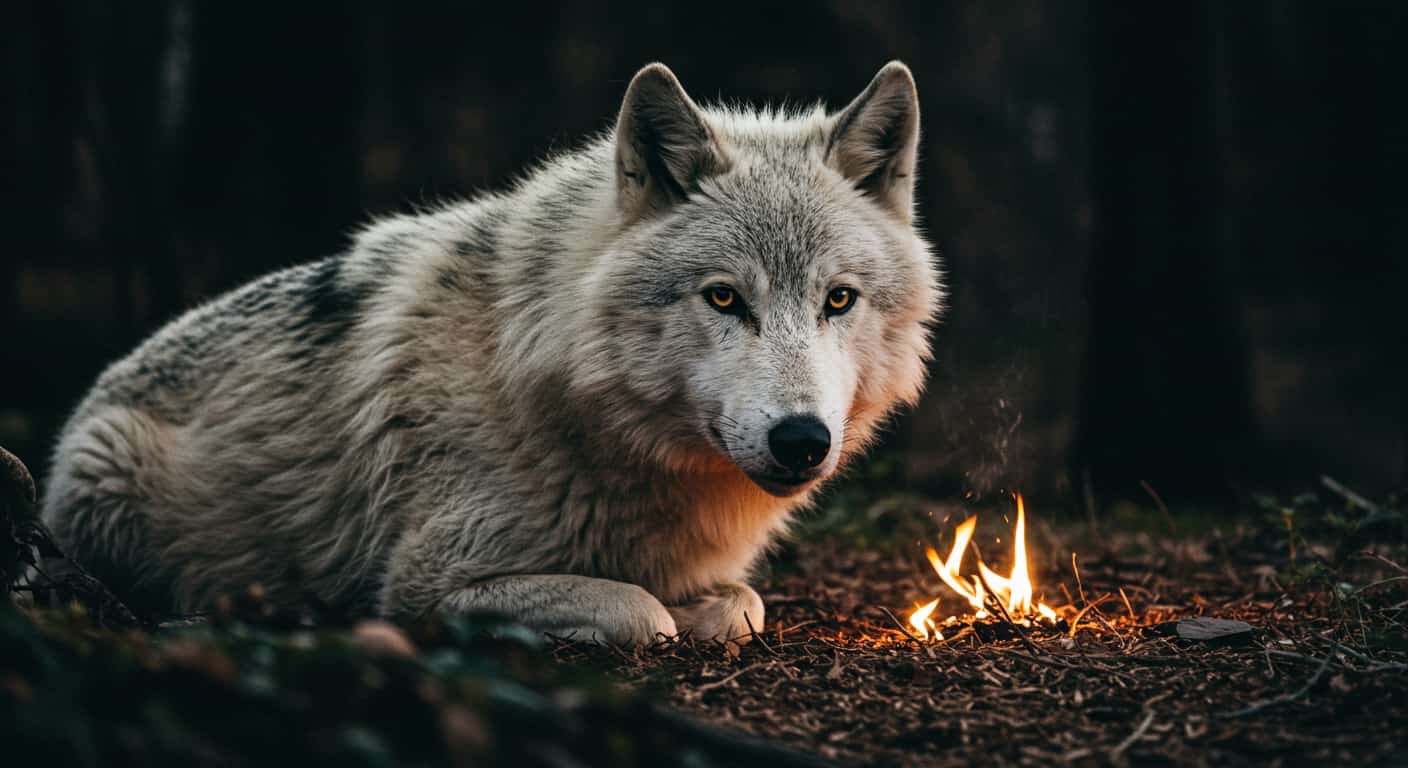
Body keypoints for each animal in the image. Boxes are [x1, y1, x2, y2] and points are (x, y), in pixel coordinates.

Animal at [41, 62, 942, 645]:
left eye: (838, 300)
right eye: (725, 298)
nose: (803, 440)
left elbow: (739, 604)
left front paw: (701, 606)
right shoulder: (429, 583)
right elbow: (638, 611)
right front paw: (661, 610)